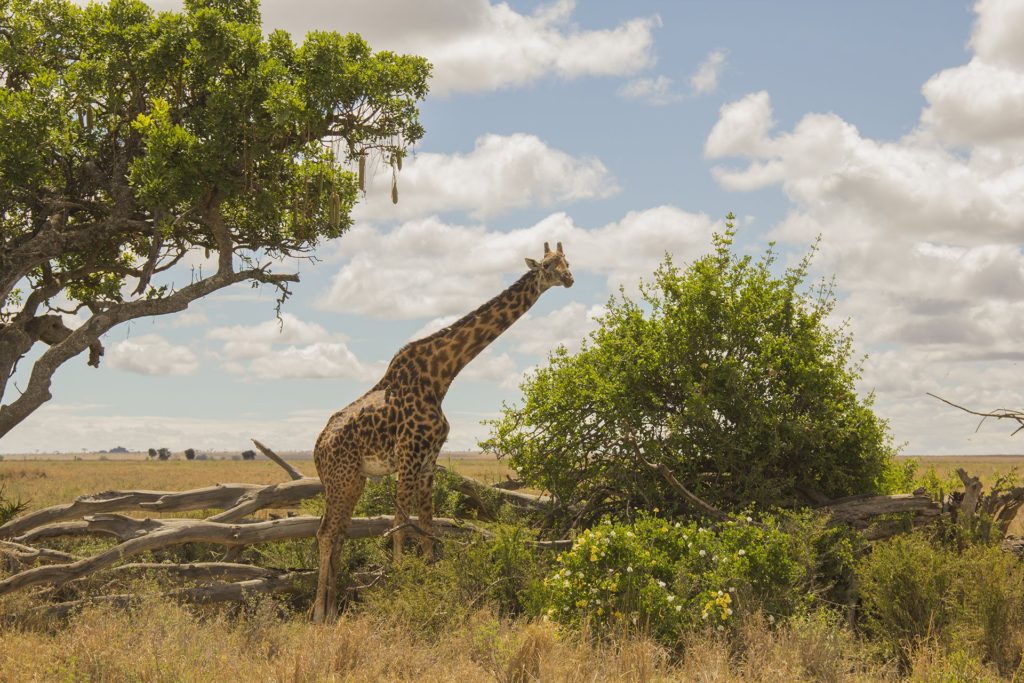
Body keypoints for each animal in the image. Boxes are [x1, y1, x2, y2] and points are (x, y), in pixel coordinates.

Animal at [307, 241, 573, 626]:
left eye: (568, 261)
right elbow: (401, 523)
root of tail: (317, 448)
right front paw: (398, 586)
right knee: (326, 532)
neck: (441, 375)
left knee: (337, 531)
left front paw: (431, 584)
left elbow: (428, 525)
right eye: (549, 265)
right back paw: (319, 613)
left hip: (353, 479)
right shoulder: (408, 455)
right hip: (341, 478)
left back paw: (330, 609)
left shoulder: (429, 459)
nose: (569, 278)